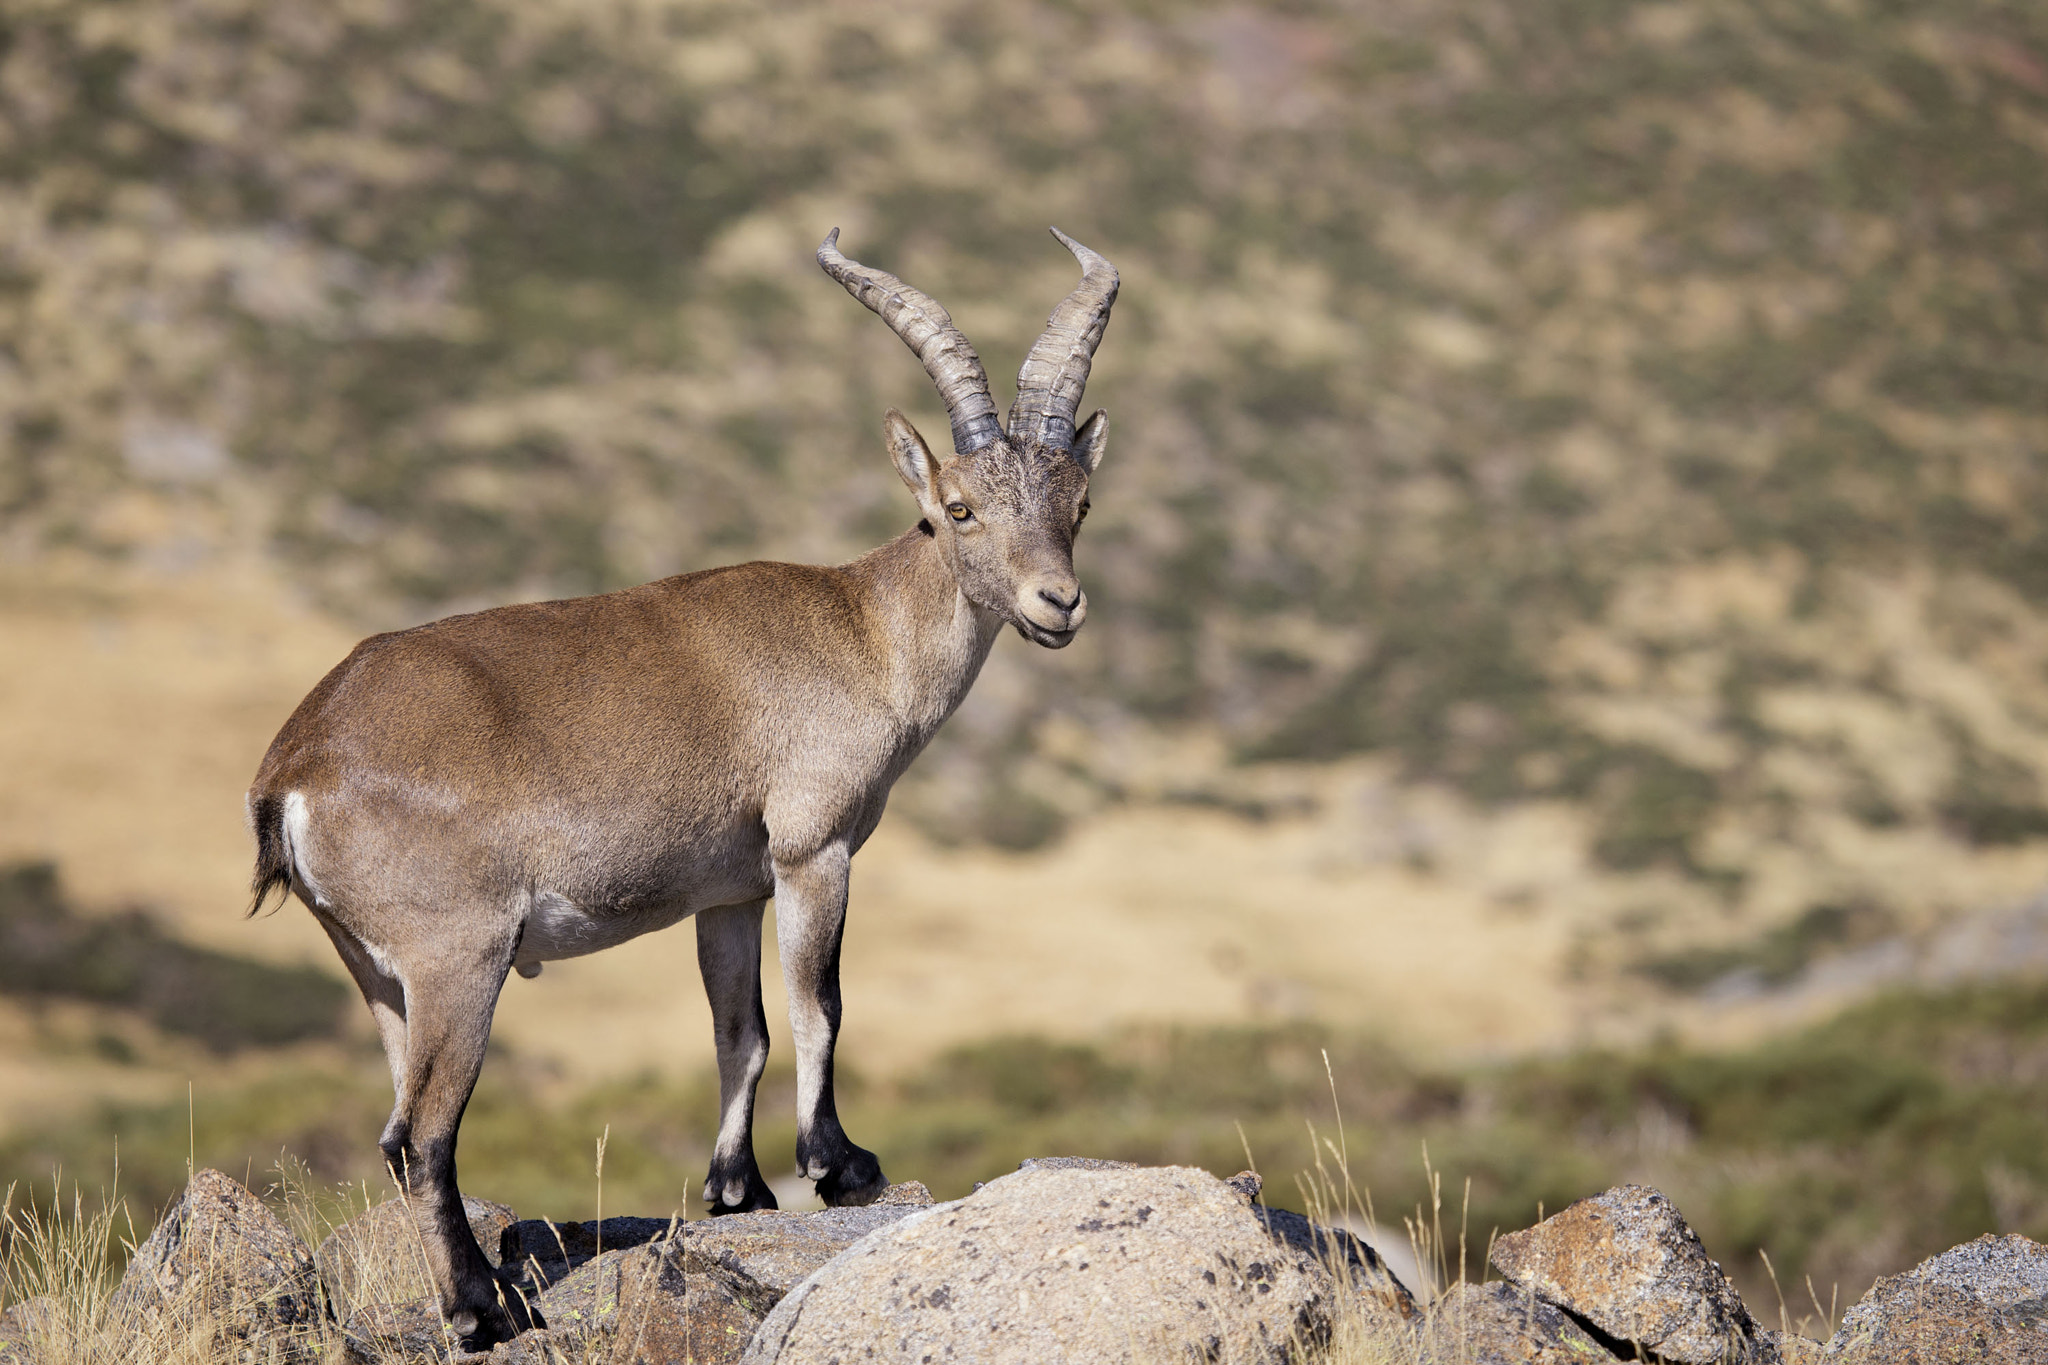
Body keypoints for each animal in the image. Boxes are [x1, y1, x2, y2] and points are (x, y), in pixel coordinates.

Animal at [244, 228, 1118, 1348]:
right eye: (957, 509)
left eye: (1077, 504)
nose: (1058, 603)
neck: (862, 631)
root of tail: (296, 765)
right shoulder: (811, 848)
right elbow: (818, 1005)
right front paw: (841, 1167)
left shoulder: (729, 891)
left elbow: (739, 1033)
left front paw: (737, 1189)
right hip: (459, 958)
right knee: (421, 1134)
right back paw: (486, 1310)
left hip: (375, 968)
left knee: (400, 1124)